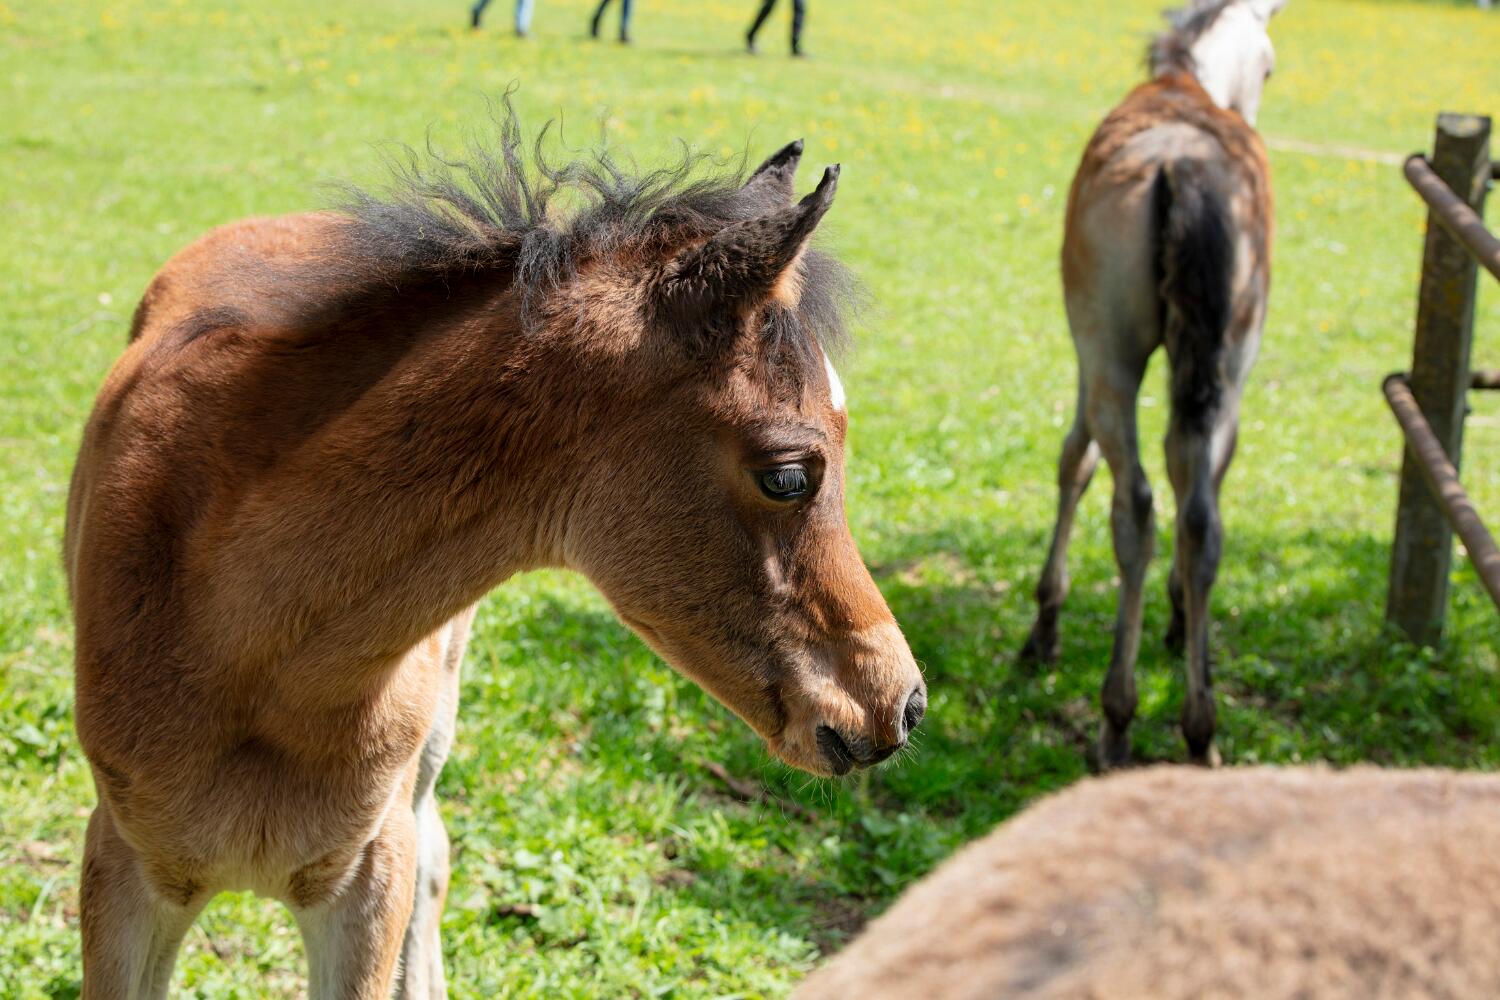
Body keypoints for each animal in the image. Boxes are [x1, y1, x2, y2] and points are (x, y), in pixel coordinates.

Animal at [1020, 0, 1284, 768]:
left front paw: (1045, 621)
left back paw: (1117, 713)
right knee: (1199, 514)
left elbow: (1074, 462)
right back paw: (1199, 726)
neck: (1186, 83)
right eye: (1269, 65)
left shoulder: (1088, 351)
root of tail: (1183, 168)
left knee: (1135, 504)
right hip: (1226, 359)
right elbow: (1196, 479)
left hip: (1113, 352)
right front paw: (1178, 619)